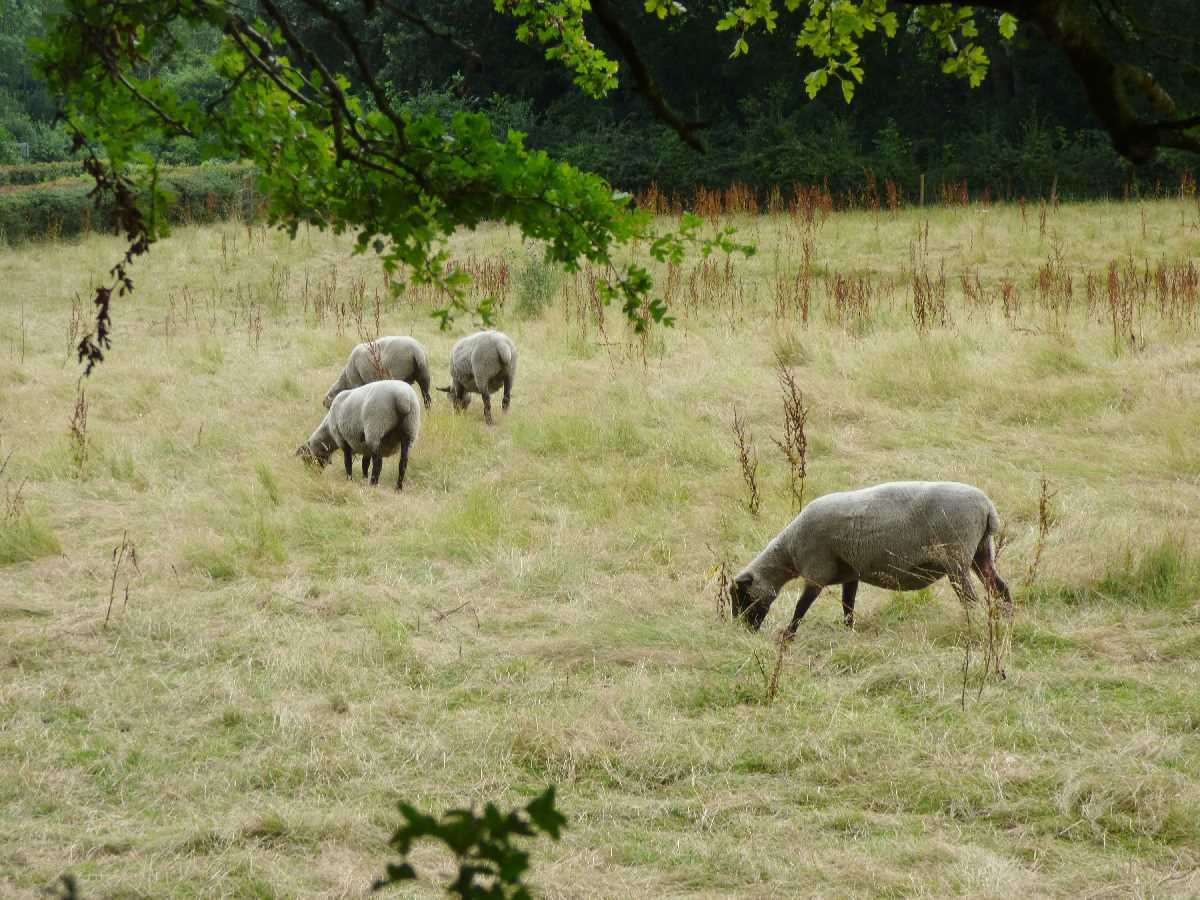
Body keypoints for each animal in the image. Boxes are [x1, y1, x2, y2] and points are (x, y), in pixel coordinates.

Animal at [724, 482, 1008, 638]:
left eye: (741, 596)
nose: (742, 629)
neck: (789, 550)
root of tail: (988, 507)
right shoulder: (850, 573)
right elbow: (847, 607)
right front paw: (848, 631)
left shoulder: (817, 570)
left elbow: (801, 607)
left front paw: (788, 635)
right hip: (981, 552)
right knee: (1000, 588)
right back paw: (1007, 618)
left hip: (957, 558)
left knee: (970, 599)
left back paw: (970, 626)